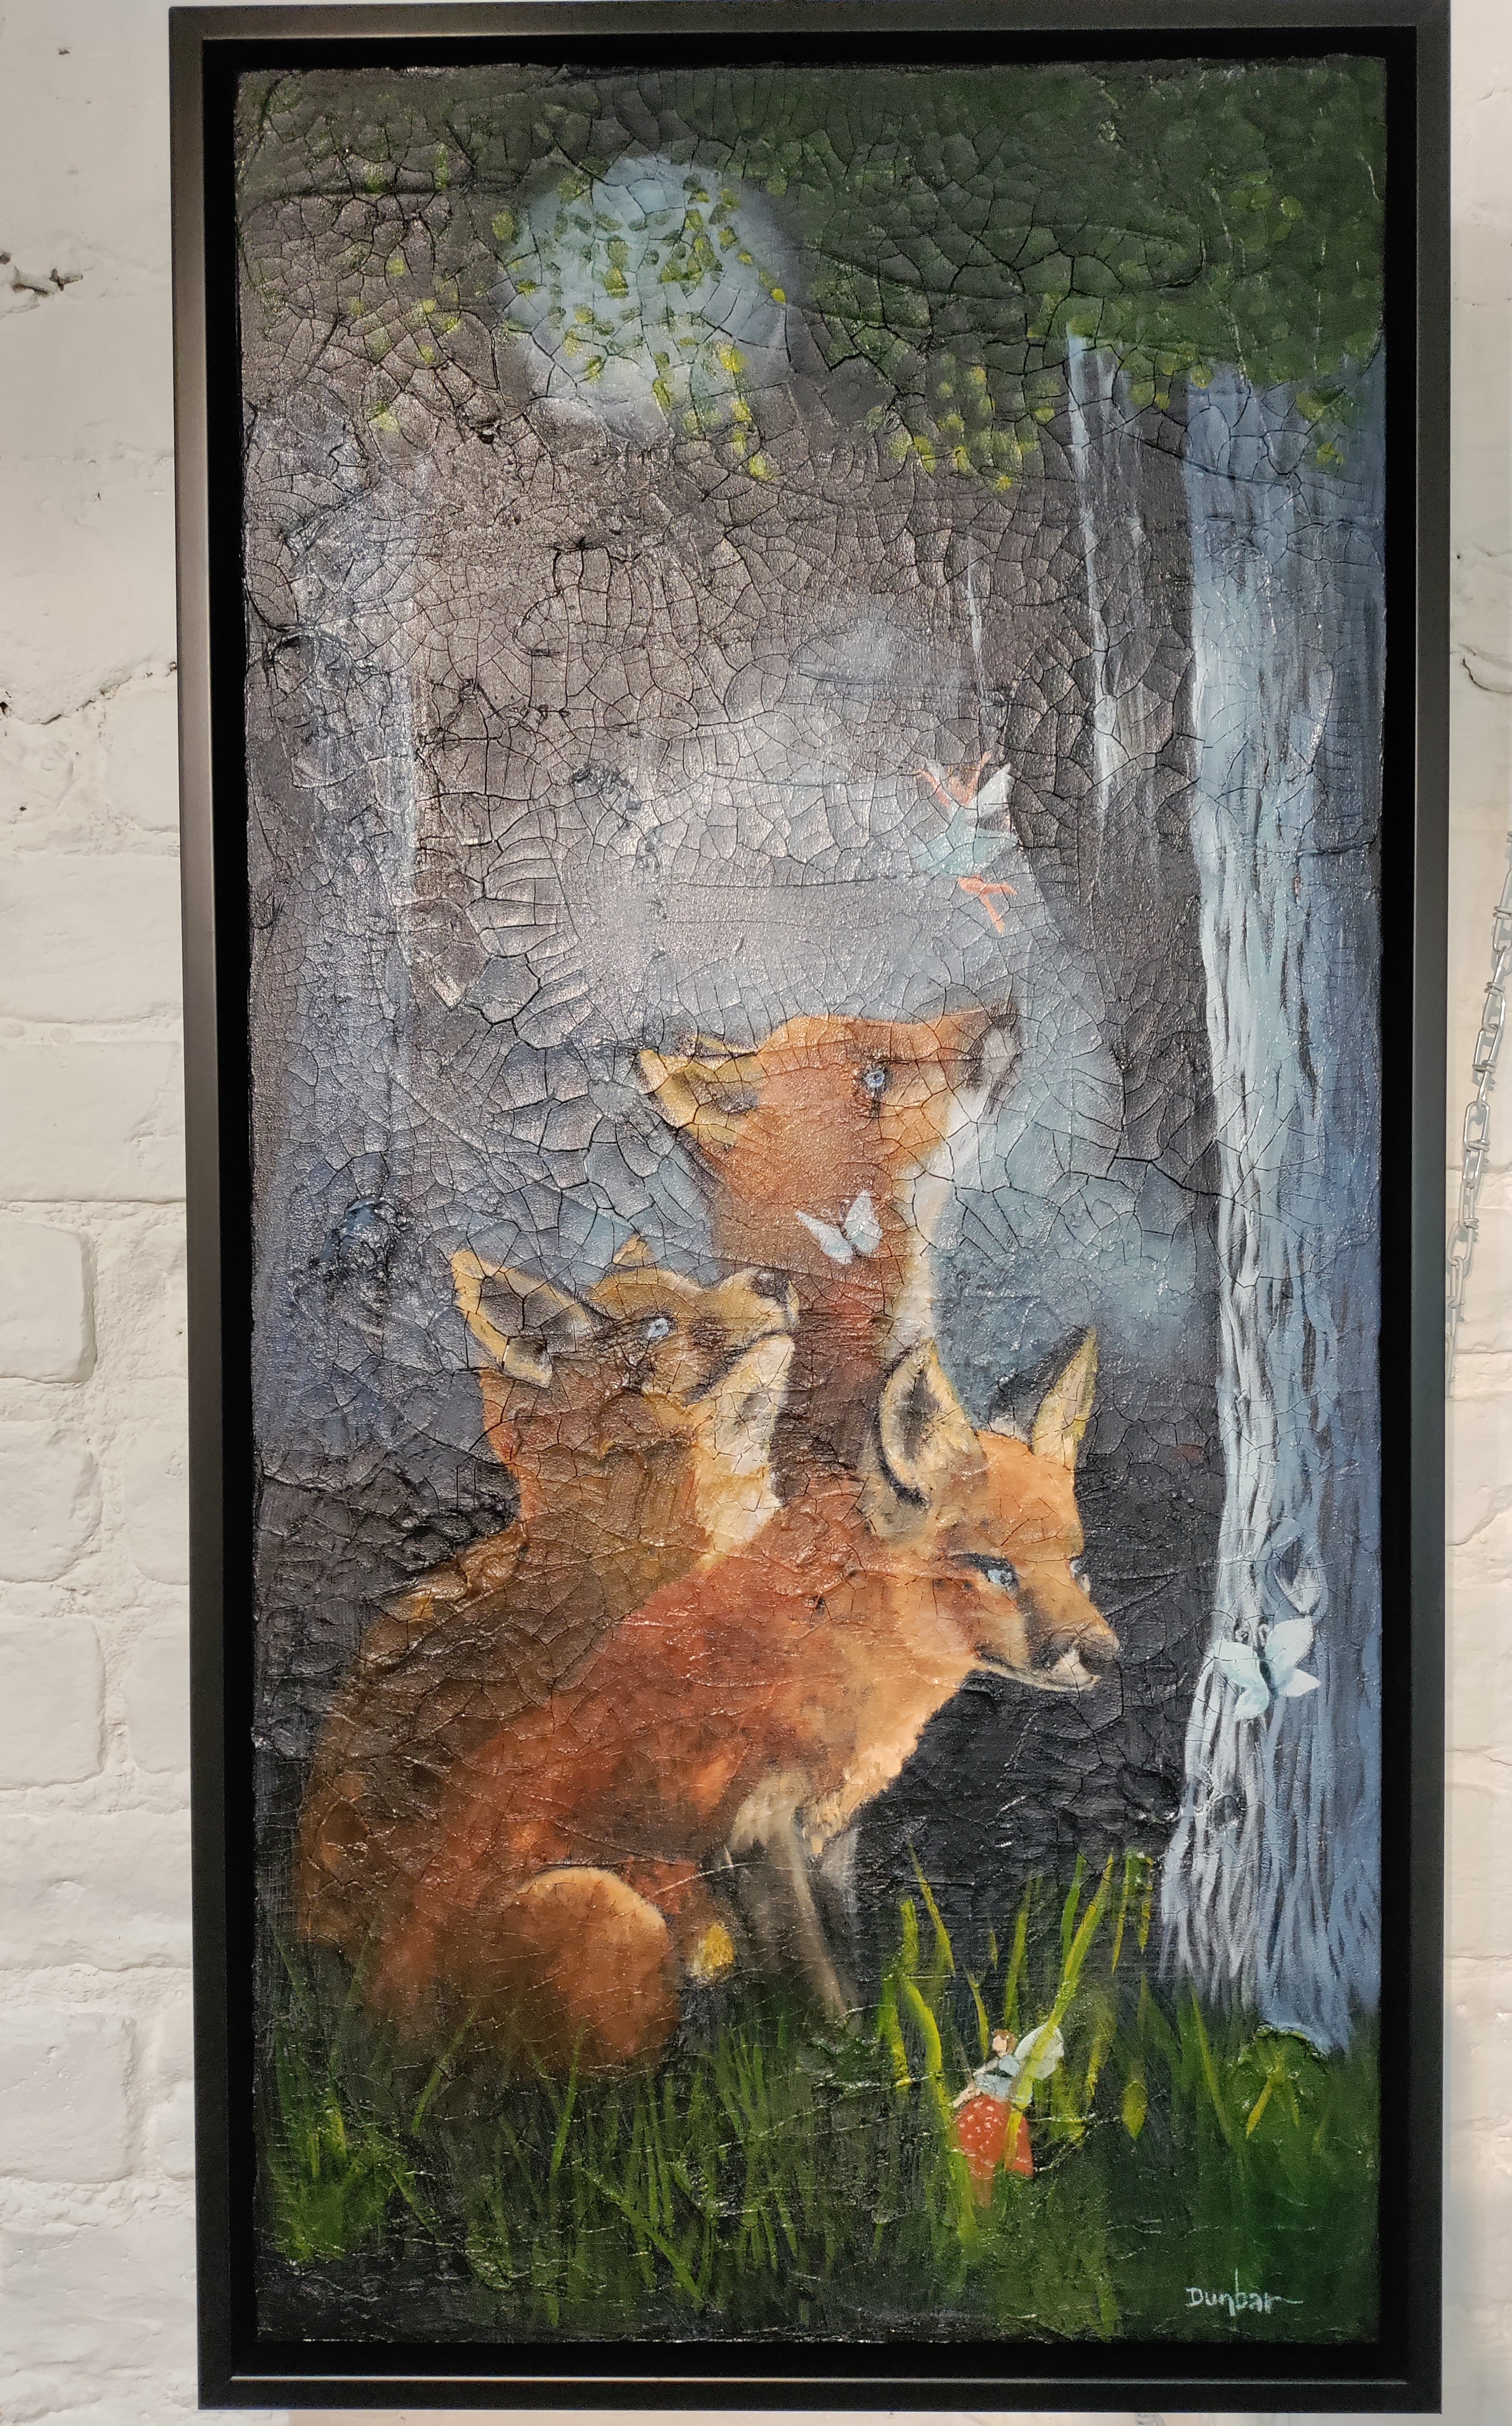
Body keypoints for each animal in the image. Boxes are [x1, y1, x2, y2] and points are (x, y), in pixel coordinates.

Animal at [365, 1330, 1115, 2073]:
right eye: (998, 1572)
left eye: (1075, 1566)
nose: (1104, 1655)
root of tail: (380, 2019)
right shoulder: (757, 1827)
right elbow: (816, 1975)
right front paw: (844, 2070)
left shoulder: (833, 1831)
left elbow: (844, 1953)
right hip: (611, 1915)